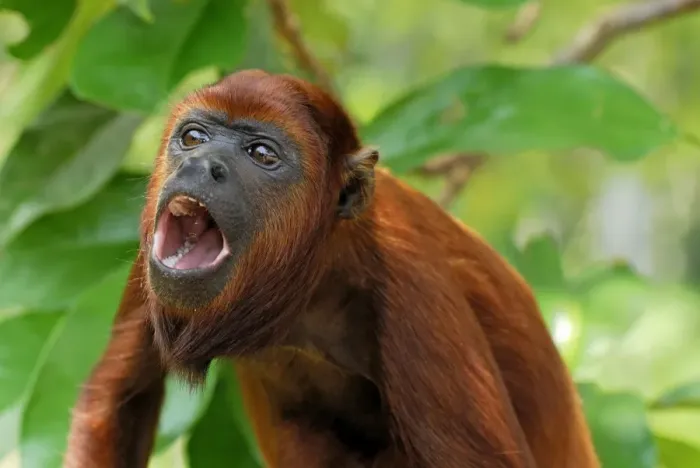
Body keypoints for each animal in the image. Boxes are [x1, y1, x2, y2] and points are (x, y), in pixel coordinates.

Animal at [64, 69, 599, 468]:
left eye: (262, 154)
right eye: (193, 137)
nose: (203, 166)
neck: (315, 279)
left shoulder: (416, 294)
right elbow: (118, 398)